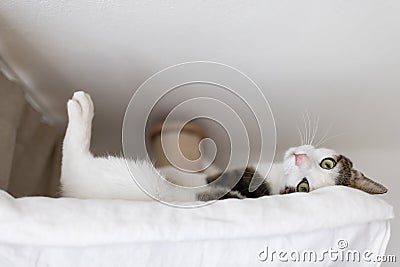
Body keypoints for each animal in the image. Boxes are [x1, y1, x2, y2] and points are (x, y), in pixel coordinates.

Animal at [61, 91, 388, 201]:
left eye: (303, 187)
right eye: (327, 163)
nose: (298, 159)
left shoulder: (223, 176)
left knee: (75, 163)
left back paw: (81, 109)